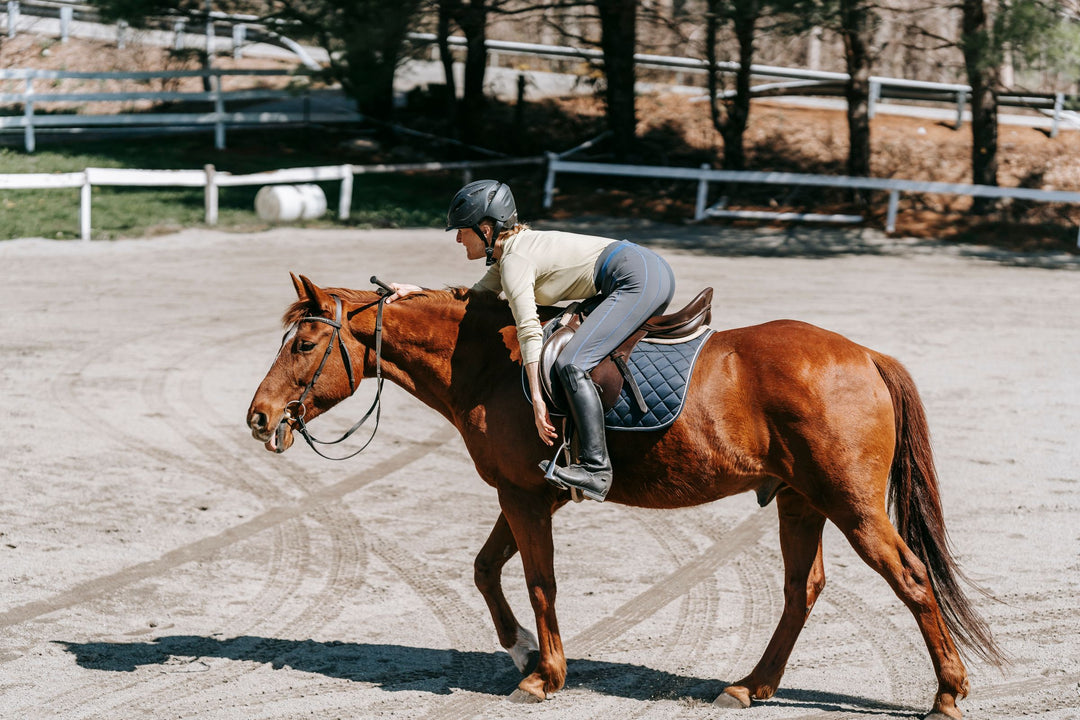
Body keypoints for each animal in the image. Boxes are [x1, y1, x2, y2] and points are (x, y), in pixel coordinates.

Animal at [246, 273, 1003, 718]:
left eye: (305, 343)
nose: (258, 417)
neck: (490, 363)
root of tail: (865, 354)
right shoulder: (525, 493)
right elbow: (487, 570)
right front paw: (520, 650)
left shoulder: (526, 499)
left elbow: (539, 581)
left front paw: (544, 674)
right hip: (800, 500)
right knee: (802, 589)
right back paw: (752, 685)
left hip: (852, 507)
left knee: (910, 579)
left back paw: (946, 693)